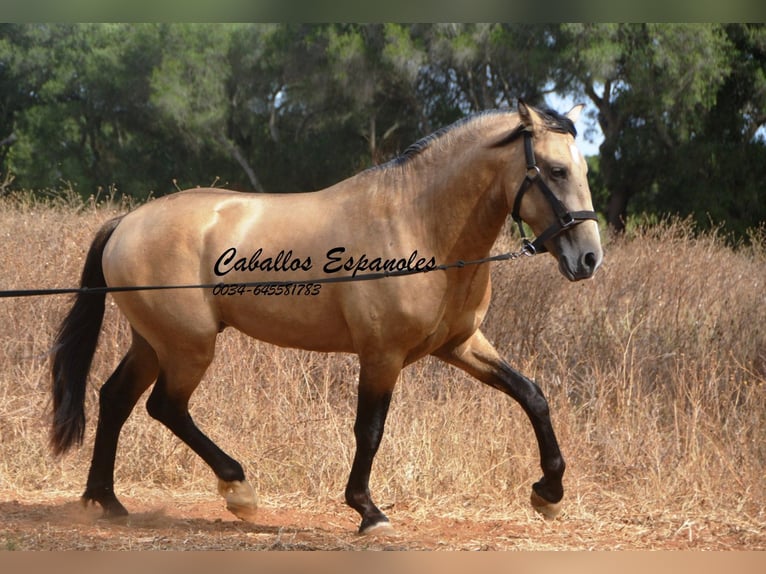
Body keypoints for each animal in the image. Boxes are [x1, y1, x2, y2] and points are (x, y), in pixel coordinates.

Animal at [51, 100, 608, 536]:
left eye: (582, 170)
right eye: (555, 171)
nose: (588, 259)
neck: (418, 222)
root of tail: (127, 221)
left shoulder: (461, 345)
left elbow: (532, 395)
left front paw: (548, 492)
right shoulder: (381, 355)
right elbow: (370, 430)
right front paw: (368, 511)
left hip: (154, 342)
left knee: (116, 398)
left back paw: (107, 501)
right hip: (188, 346)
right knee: (165, 406)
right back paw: (239, 489)